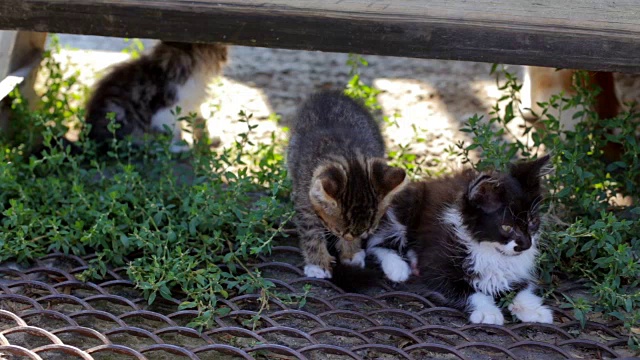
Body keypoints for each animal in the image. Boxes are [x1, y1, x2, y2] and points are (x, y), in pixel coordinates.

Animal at [85, 41, 228, 153]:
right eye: (221, 49)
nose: (225, 55)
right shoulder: (166, 110)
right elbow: (172, 132)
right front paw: (179, 147)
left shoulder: (192, 104)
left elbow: (200, 122)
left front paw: (207, 141)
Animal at [288, 91, 408, 280]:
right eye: (338, 230)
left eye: (367, 231)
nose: (349, 239)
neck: (349, 157)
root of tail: (328, 94)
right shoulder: (304, 200)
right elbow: (310, 233)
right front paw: (318, 264)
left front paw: (351, 253)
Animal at [370, 156, 556, 324]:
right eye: (507, 227)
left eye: (532, 221)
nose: (526, 244)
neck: (489, 250)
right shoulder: (436, 267)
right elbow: (468, 291)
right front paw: (488, 312)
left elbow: (522, 287)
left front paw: (532, 309)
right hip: (406, 205)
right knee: (377, 241)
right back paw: (397, 267)